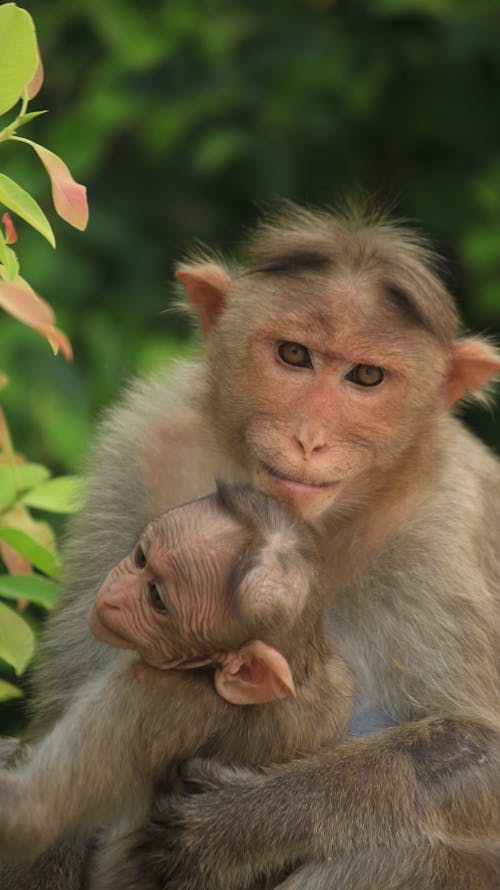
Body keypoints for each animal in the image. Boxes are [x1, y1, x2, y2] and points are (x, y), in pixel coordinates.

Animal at [0, 482, 354, 884]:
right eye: (141, 557)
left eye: (157, 599)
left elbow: (32, 812)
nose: (114, 594)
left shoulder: (148, 693)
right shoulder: (336, 685)